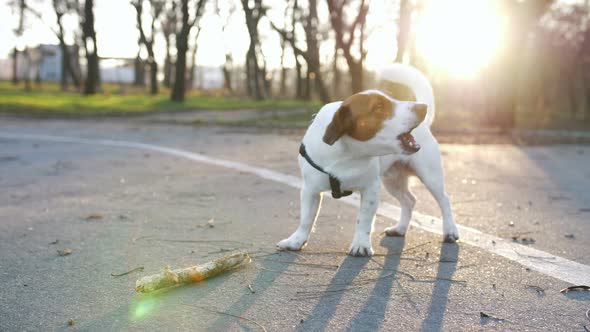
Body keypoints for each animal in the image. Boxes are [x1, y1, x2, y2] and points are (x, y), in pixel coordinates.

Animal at [278, 63, 462, 256]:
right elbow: (306, 219)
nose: (422, 108)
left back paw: (450, 231)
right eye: (379, 107)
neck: (347, 153)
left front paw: (361, 244)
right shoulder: (310, 190)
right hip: (393, 181)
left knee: (444, 200)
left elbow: (364, 219)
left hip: (430, 176)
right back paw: (400, 228)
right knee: (409, 200)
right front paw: (296, 241)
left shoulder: (371, 189)